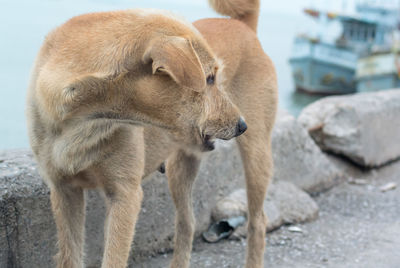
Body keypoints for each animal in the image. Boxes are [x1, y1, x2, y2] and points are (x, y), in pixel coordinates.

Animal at [25, 0, 276, 268]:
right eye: (209, 78)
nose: (241, 125)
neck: (83, 122)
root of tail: (242, 25)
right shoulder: (64, 192)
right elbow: (69, 256)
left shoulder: (125, 196)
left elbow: (113, 259)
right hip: (179, 168)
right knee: (186, 224)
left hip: (256, 156)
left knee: (257, 222)